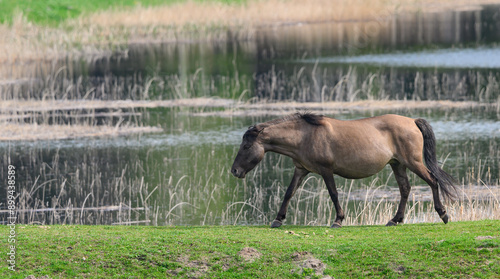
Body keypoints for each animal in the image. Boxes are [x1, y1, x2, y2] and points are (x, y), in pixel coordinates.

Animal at [230, 112, 458, 229]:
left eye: (246, 146)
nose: (234, 171)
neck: (305, 135)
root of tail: (412, 121)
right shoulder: (301, 170)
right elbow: (289, 193)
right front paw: (278, 219)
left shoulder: (326, 170)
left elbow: (333, 194)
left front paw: (338, 220)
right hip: (398, 164)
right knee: (405, 189)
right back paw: (395, 220)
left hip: (413, 162)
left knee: (432, 181)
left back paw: (443, 214)